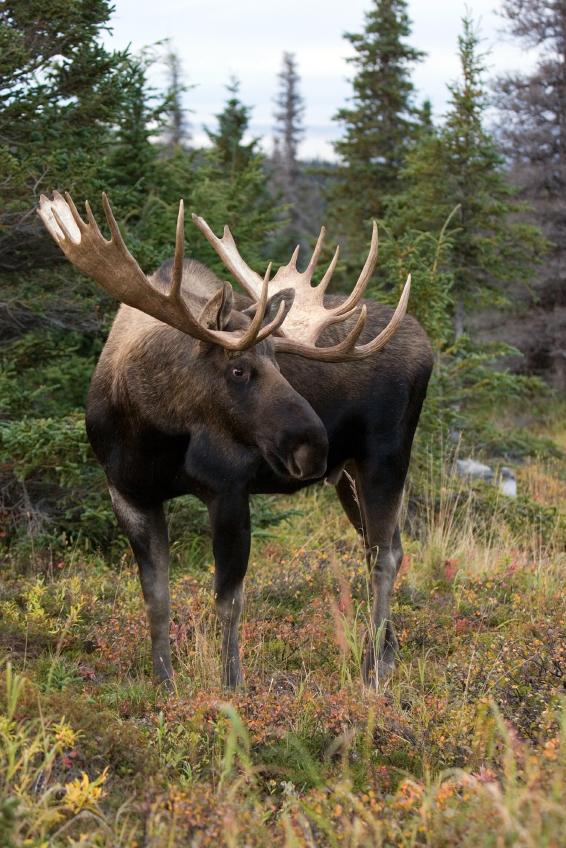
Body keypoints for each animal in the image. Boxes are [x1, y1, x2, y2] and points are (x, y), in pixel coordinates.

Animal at [37, 192, 432, 688]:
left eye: (280, 363)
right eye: (238, 369)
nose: (314, 446)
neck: (150, 430)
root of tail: (427, 345)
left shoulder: (228, 489)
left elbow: (228, 599)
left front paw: (231, 684)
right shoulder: (127, 493)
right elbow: (156, 598)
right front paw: (164, 683)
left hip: (386, 456)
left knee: (383, 557)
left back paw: (370, 671)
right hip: (349, 475)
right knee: (385, 547)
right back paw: (387, 655)